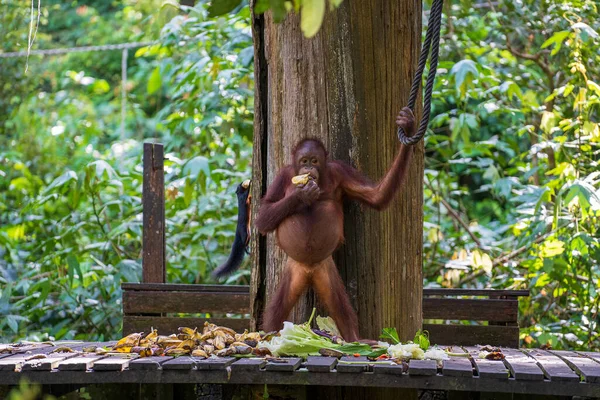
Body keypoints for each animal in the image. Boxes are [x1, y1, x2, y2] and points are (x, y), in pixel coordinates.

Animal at [254, 106, 418, 340]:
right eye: (303, 161)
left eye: (314, 161)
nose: (308, 170)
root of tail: (309, 271)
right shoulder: (283, 176)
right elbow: (263, 215)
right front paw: (301, 195)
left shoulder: (340, 172)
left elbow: (376, 195)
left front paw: (408, 128)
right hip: (294, 268)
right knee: (277, 309)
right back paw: (269, 335)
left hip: (325, 270)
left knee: (340, 305)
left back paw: (354, 339)